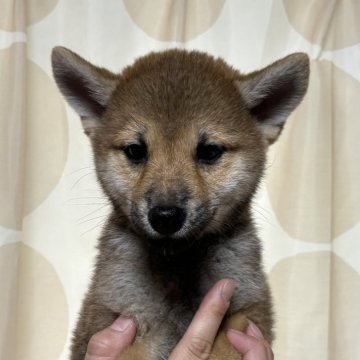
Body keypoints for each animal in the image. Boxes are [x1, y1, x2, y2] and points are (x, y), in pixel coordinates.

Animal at [51, 47, 310, 360]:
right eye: (135, 150)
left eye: (209, 151)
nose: (165, 216)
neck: (178, 268)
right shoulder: (112, 320)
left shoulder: (248, 313)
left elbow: (224, 348)